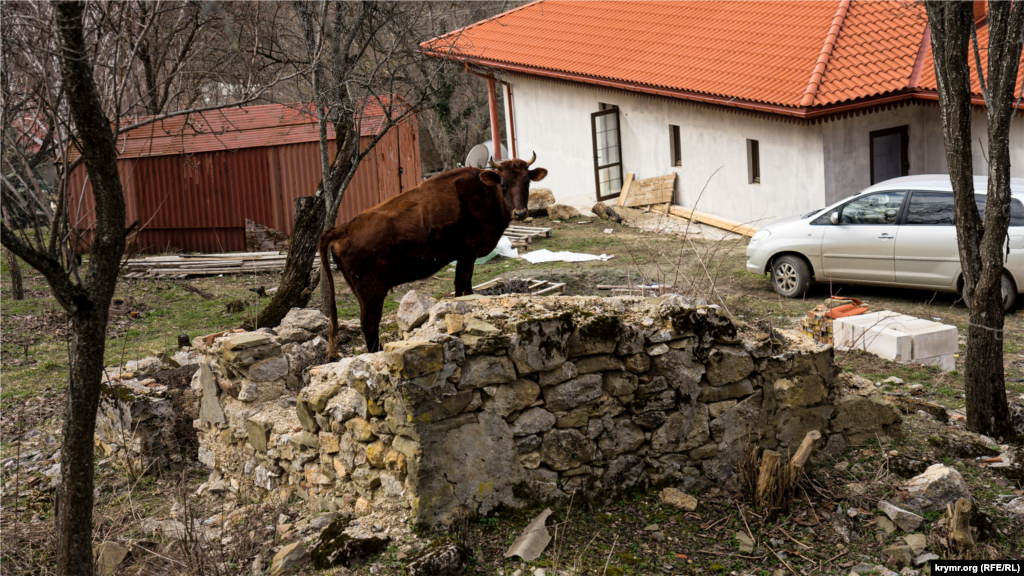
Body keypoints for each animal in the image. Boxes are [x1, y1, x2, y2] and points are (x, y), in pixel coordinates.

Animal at [319, 152, 548, 352]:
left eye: (527, 182)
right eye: (503, 184)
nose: (520, 213)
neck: (484, 193)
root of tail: (341, 229)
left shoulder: (469, 256)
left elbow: (468, 287)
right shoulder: (468, 252)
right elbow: (461, 286)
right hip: (372, 292)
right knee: (369, 326)